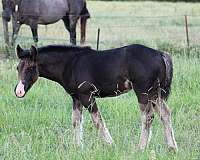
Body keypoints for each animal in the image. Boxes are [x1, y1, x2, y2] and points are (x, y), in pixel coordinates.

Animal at [14, 44, 178, 152]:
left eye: (31, 68)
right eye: (18, 67)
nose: (19, 92)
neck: (70, 64)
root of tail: (161, 55)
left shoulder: (87, 95)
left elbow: (97, 120)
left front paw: (110, 144)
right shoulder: (76, 98)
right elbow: (76, 121)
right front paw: (78, 147)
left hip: (143, 92)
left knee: (147, 117)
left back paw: (141, 147)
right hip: (155, 93)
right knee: (165, 114)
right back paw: (172, 147)